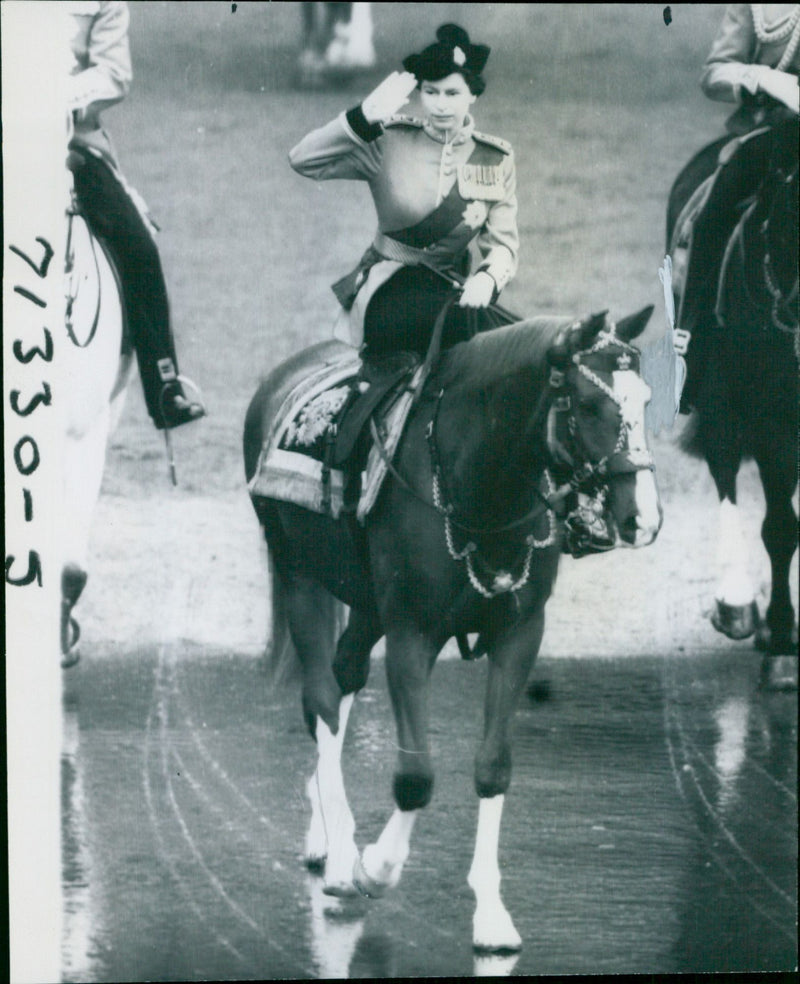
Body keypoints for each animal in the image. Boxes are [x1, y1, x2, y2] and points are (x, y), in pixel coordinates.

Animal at [244, 308, 664, 952]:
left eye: (643, 400)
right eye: (590, 406)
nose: (644, 516)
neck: (483, 479)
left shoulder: (519, 635)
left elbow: (492, 766)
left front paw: (491, 914)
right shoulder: (411, 636)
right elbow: (416, 776)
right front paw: (375, 868)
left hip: (365, 605)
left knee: (341, 680)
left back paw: (324, 832)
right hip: (301, 576)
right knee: (321, 698)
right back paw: (340, 855)